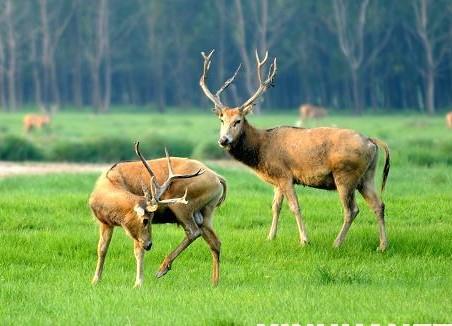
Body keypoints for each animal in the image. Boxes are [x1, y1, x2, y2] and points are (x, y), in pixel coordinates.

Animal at [89, 141, 226, 286]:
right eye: (145, 220)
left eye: (150, 219)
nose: (149, 244)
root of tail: (218, 178)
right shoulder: (105, 223)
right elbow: (102, 249)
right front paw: (95, 280)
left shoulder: (136, 232)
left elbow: (138, 251)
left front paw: (138, 283)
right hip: (206, 212)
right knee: (215, 242)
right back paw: (214, 282)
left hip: (182, 206)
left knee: (193, 232)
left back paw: (162, 269)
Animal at [200, 49, 390, 251]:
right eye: (221, 120)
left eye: (238, 120)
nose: (223, 140)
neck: (262, 150)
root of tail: (372, 141)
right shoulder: (277, 179)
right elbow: (275, 206)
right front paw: (270, 237)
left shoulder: (285, 174)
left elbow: (295, 207)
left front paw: (304, 240)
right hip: (367, 176)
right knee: (379, 205)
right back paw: (382, 245)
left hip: (345, 174)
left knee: (352, 209)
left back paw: (337, 243)